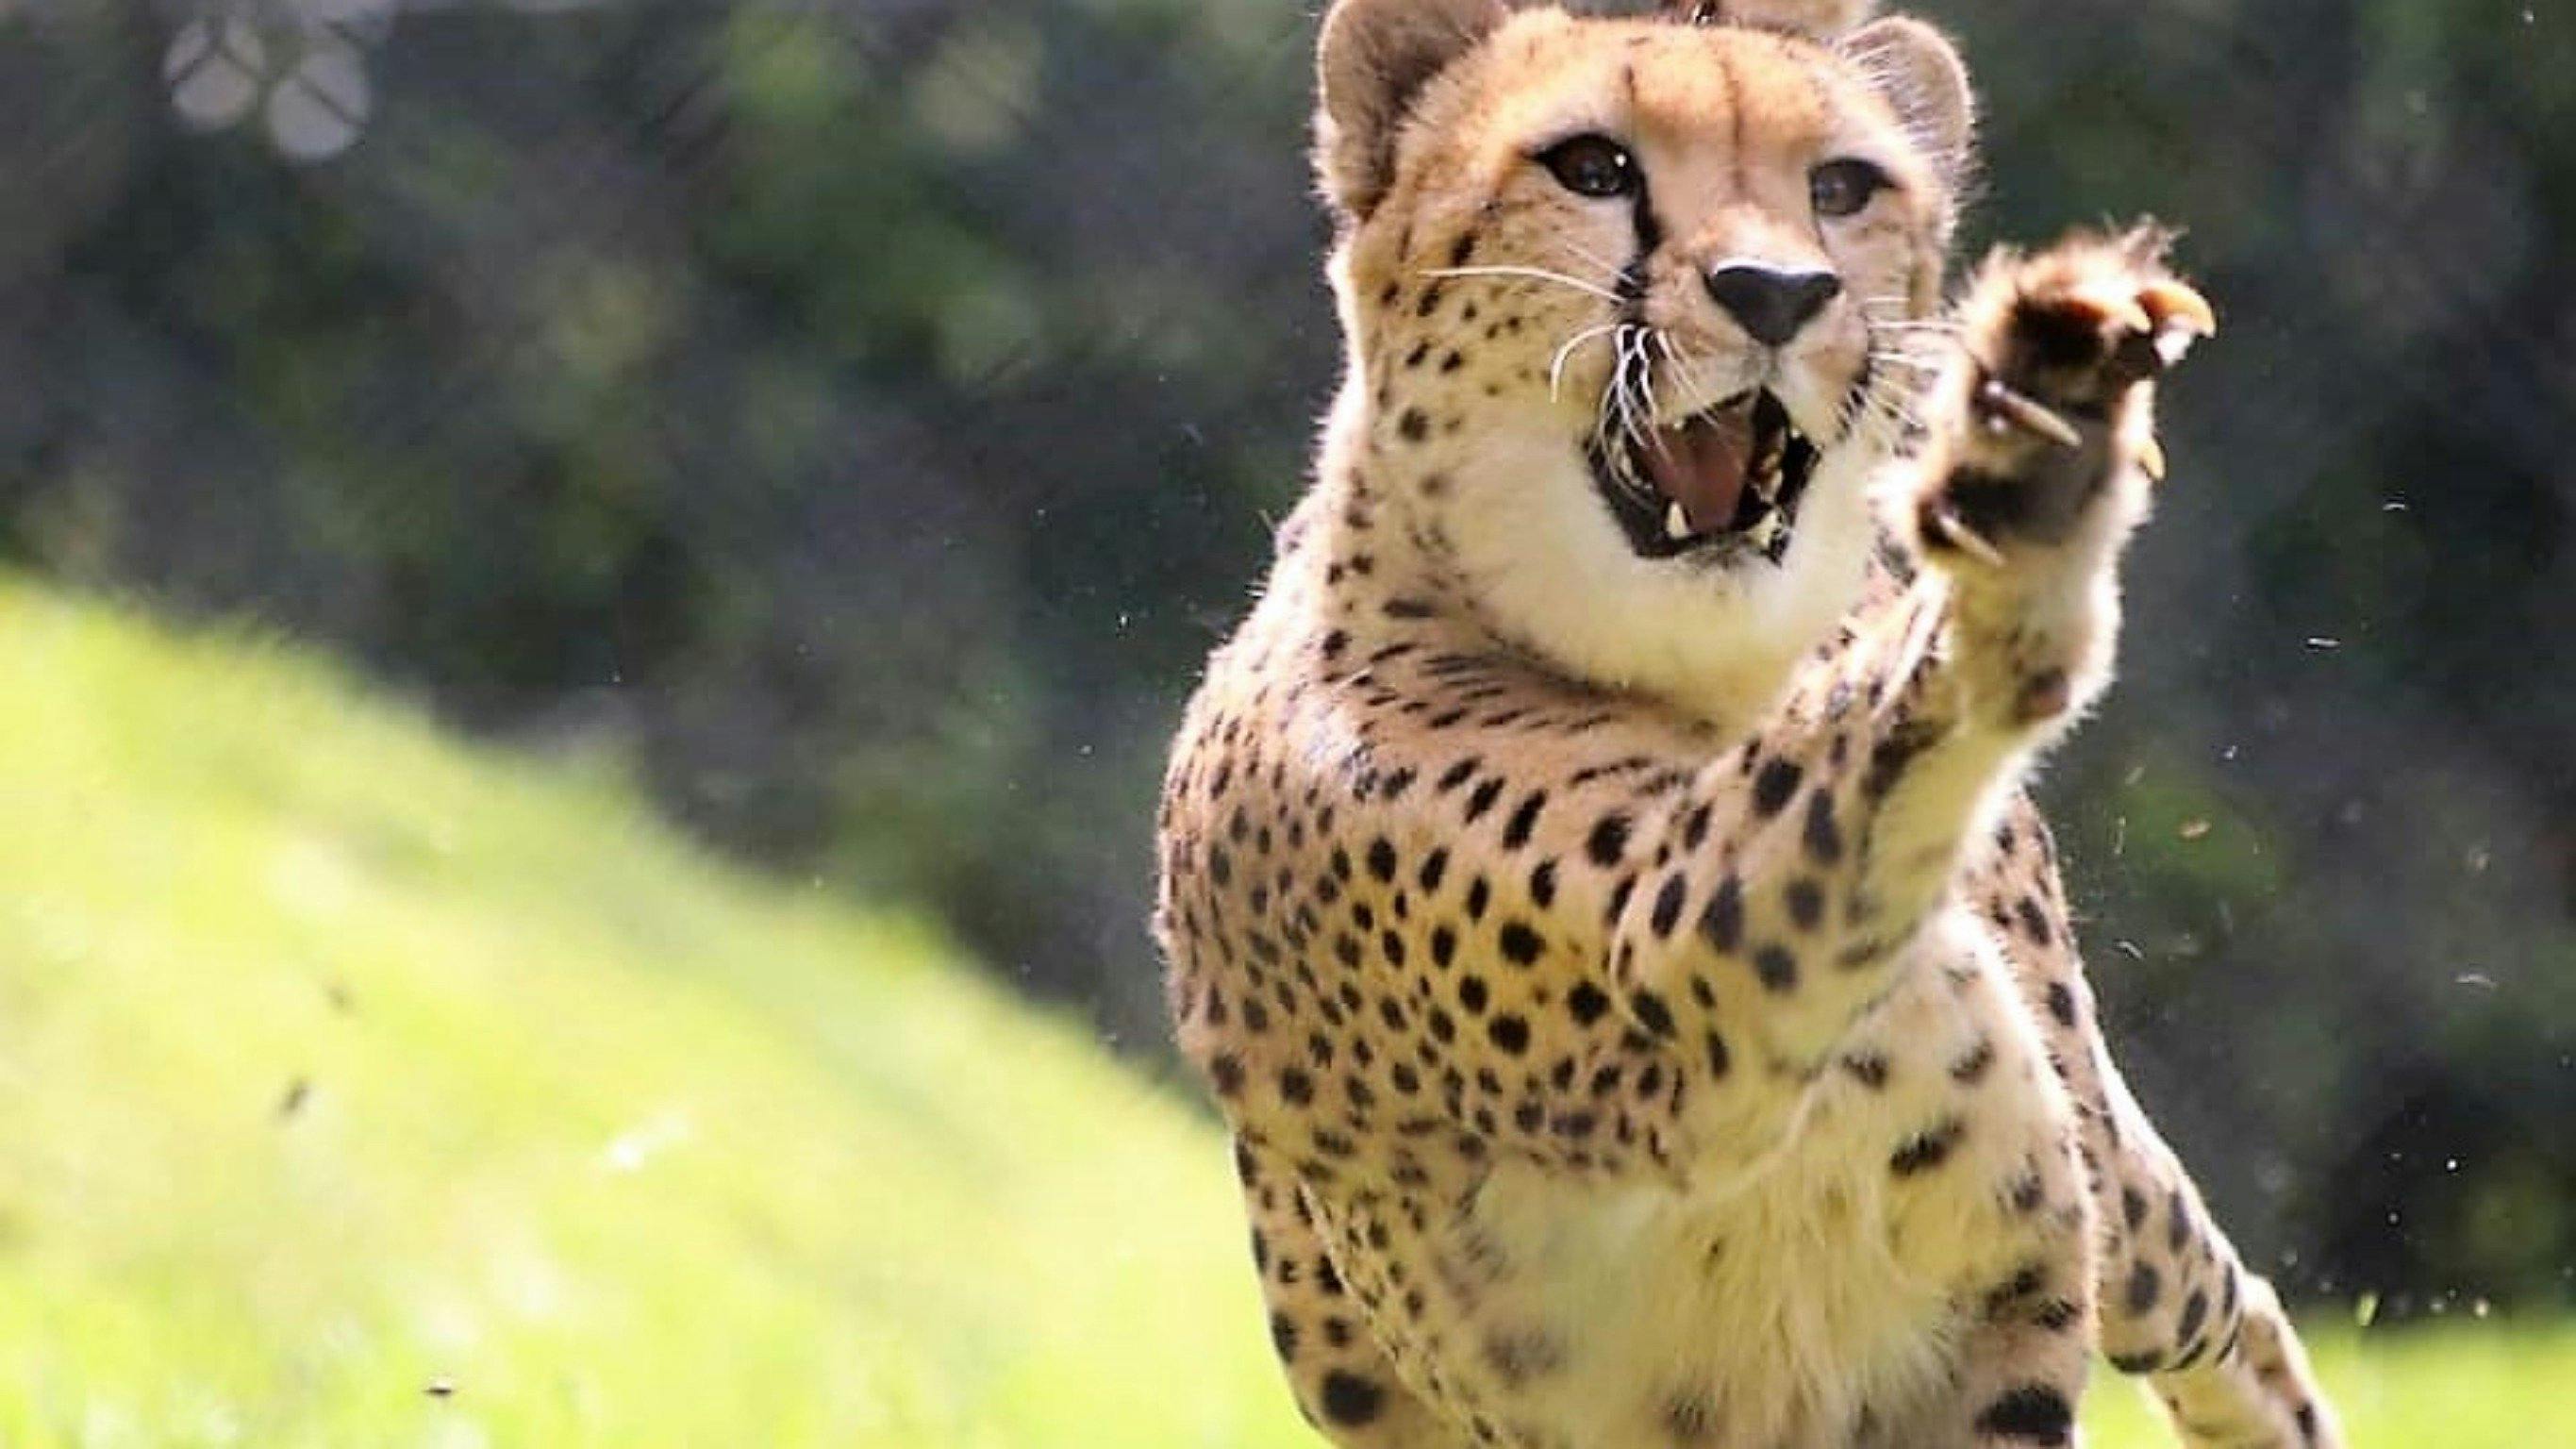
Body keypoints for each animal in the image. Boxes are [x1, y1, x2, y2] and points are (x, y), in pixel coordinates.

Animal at [1152, 2, 2344, 1445]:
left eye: (1838, 188)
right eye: (1592, 168)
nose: (1774, 293)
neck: (1707, 677)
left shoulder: (1994, 1303)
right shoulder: (1662, 973)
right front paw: (2023, 475)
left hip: (2114, 1191)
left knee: (2216, 1301)